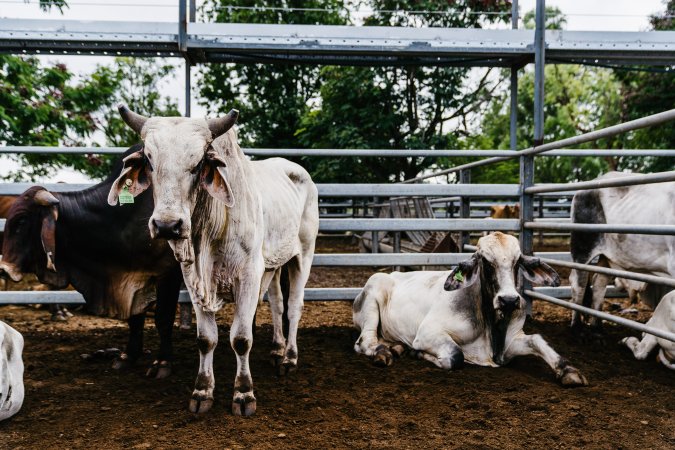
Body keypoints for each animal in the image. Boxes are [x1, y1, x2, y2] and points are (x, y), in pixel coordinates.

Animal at [108, 104, 320, 414]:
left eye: (198, 163)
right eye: (149, 159)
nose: (167, 225)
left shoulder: (248, 274)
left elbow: (241, 338)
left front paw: (243, 393)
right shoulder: (194, 279)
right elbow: (206, 339)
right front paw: (202, 390)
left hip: (303, 253)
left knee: (294, 306)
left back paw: (289, 358)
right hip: (272, 264)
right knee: (278, 304)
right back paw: (276, 349)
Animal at [354, 232, 588, 386]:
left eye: (517, 262)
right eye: (486, 261)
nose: (509, 300)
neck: (490, 327)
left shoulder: (510, 344)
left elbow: (537, 340)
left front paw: (568, 370)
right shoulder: (427, 332)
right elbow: (456, 356)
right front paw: (419, 354)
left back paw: (396, 348)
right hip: (373, 295)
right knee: (365, 341)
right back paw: (382, 352)